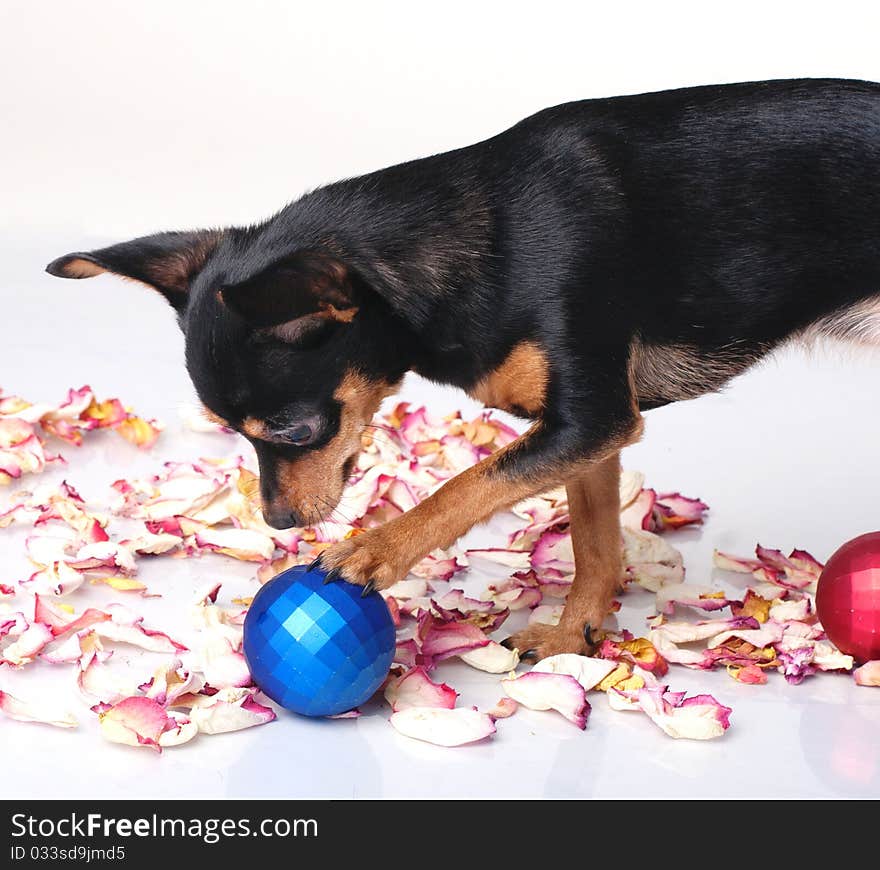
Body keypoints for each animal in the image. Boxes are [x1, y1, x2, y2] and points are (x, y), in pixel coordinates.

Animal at [44, 80, 880, 660]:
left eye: (294, 429)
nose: (276, 522)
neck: (485, 242)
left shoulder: (589, 420)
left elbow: (466, 484)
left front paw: (376, 549)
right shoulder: (586, 435)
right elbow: (593, 540)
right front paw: (574, 634)